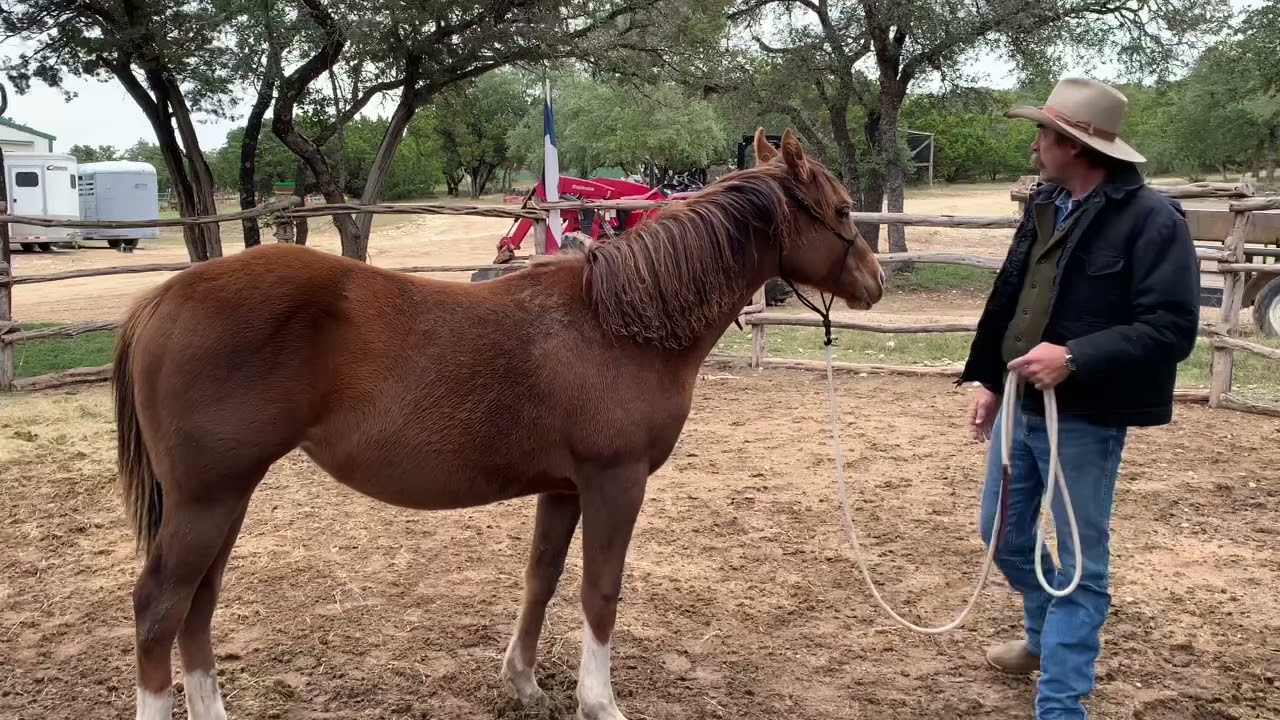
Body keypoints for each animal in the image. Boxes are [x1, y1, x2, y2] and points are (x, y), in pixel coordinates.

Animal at [112, 128, 884, 720]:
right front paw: (599, 702)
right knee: (159, 608)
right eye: (843, 209)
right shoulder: (616, 482)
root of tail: (159, 300)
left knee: (198, 605)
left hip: (226, 497)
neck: (621, 321)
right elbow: (599, 591)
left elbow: (541, 578)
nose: (875, 282)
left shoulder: (564, 488)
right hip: (208, 499)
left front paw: (524, 682)